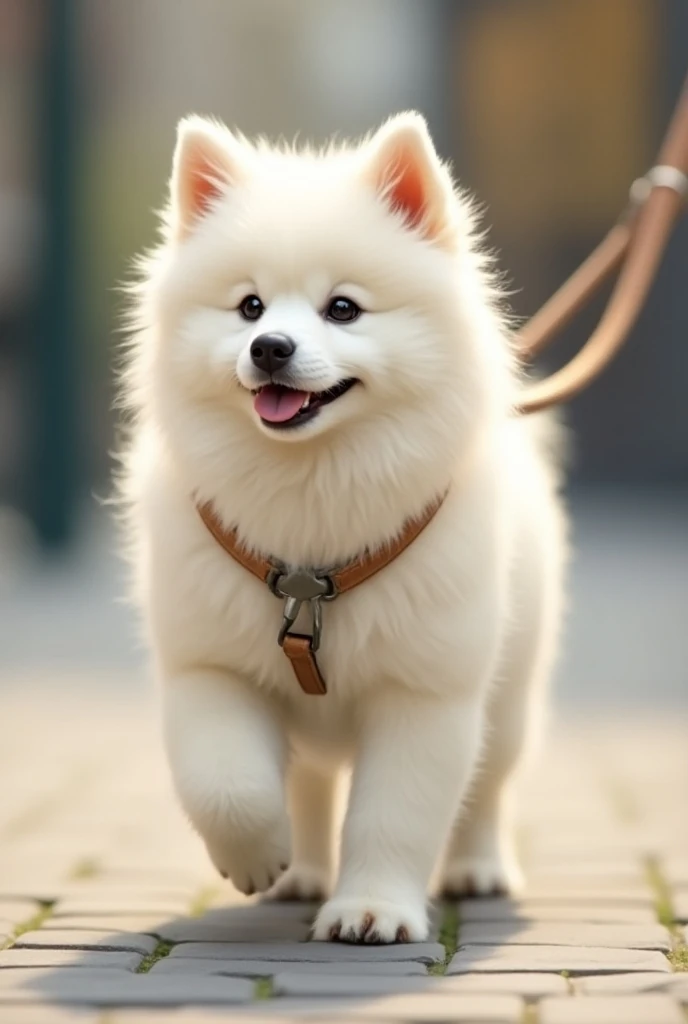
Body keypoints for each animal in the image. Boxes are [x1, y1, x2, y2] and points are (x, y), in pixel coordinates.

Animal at [120, 112, 565, 942]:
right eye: (250, 307)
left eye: (344, 309)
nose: (270, 348)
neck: (312, 503)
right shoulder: (209, 666)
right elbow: (227, 783)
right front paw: (260, 855)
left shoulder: (424, 692)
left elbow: (395, 816)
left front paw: (371, 909)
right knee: (310, 785)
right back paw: (299, 871)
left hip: (511, 695)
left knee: (488, 785)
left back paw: (477, 867)